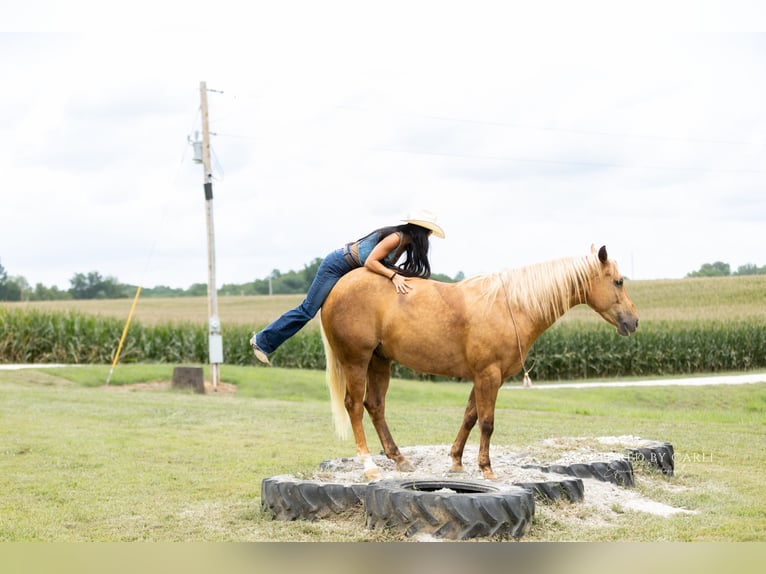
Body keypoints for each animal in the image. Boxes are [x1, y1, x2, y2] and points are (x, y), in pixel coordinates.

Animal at [319, 245, 639, 480]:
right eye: (618, 281)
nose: (633, 322)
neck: (511, 306)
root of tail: (337, 288)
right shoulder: (489, 375)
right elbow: (486, 422)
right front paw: (486, 468)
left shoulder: (483, 377)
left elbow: (469, 416)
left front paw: (456, 462)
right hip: (357, 361)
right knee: (354, 407)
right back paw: (370, 467)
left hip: (379, 361)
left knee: (375, 406)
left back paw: (399, 459)